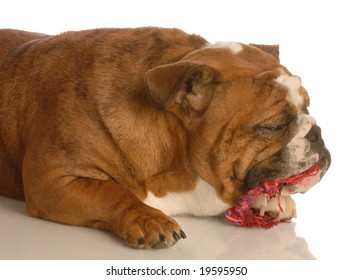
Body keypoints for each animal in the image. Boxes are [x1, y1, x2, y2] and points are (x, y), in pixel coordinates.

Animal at [0, 27, 330, 248]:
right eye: (273, 126)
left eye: (307, 106)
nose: (317, 132)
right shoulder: (51, 180)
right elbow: (109, 191)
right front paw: (148, 218)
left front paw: (270, 198)